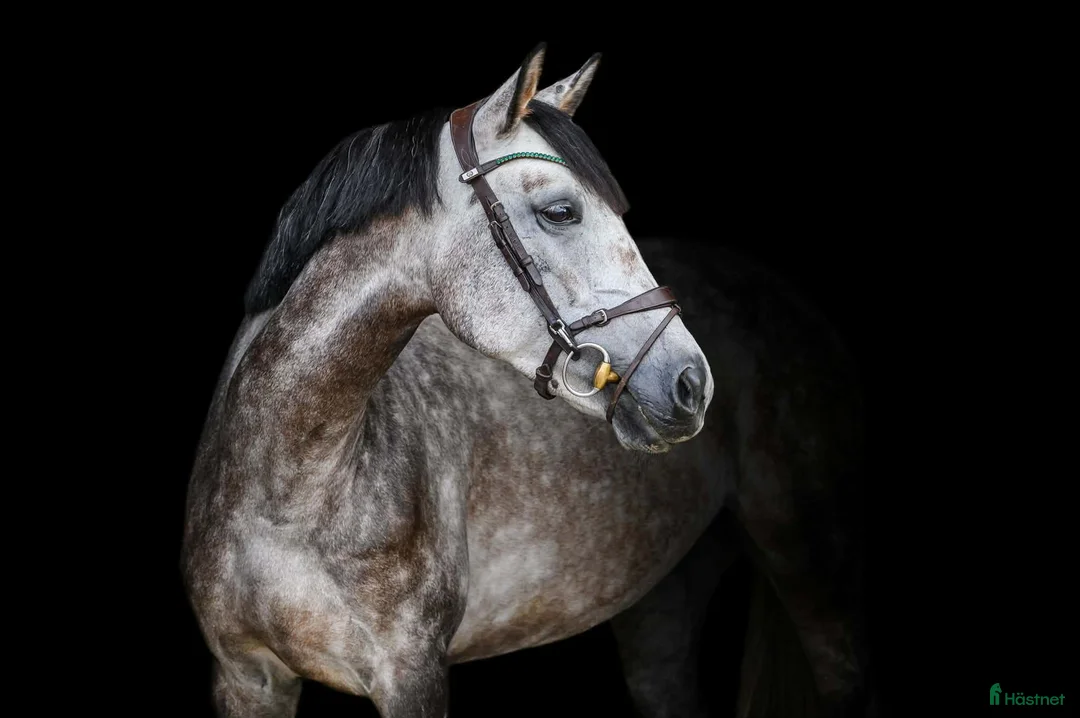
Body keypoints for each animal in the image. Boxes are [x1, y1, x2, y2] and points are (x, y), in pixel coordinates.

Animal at [181, 44, 869, 717]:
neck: (289, 497)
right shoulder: (246, 678)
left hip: (813, 568)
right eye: (560, 210)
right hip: (662, 596)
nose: (690, 383)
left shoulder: (411, 675)